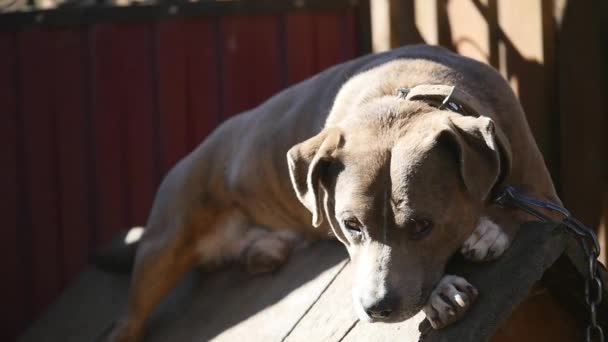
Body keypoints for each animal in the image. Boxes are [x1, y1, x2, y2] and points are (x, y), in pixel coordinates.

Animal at [107, 44, 560, 340]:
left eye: (422, 226)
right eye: (351, 226)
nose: (377, 306)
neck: (409, 93)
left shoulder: (546, 197)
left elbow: (526, 209)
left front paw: (490, 229)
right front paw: (442, 292)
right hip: (163, 245)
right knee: (129, 321)